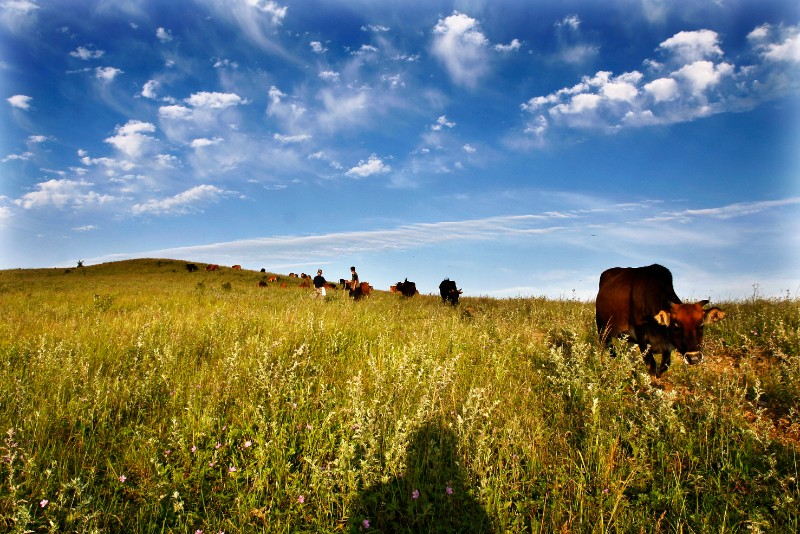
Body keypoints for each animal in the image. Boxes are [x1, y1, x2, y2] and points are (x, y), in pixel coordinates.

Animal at [592, 266, 724, 378]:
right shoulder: (642, 340)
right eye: (676, 326)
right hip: (603, 330)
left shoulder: (667, 346)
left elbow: (664, 366)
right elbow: (652, 367)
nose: (694, 358)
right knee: (609, 349)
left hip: (629, 339)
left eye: (701, 326)